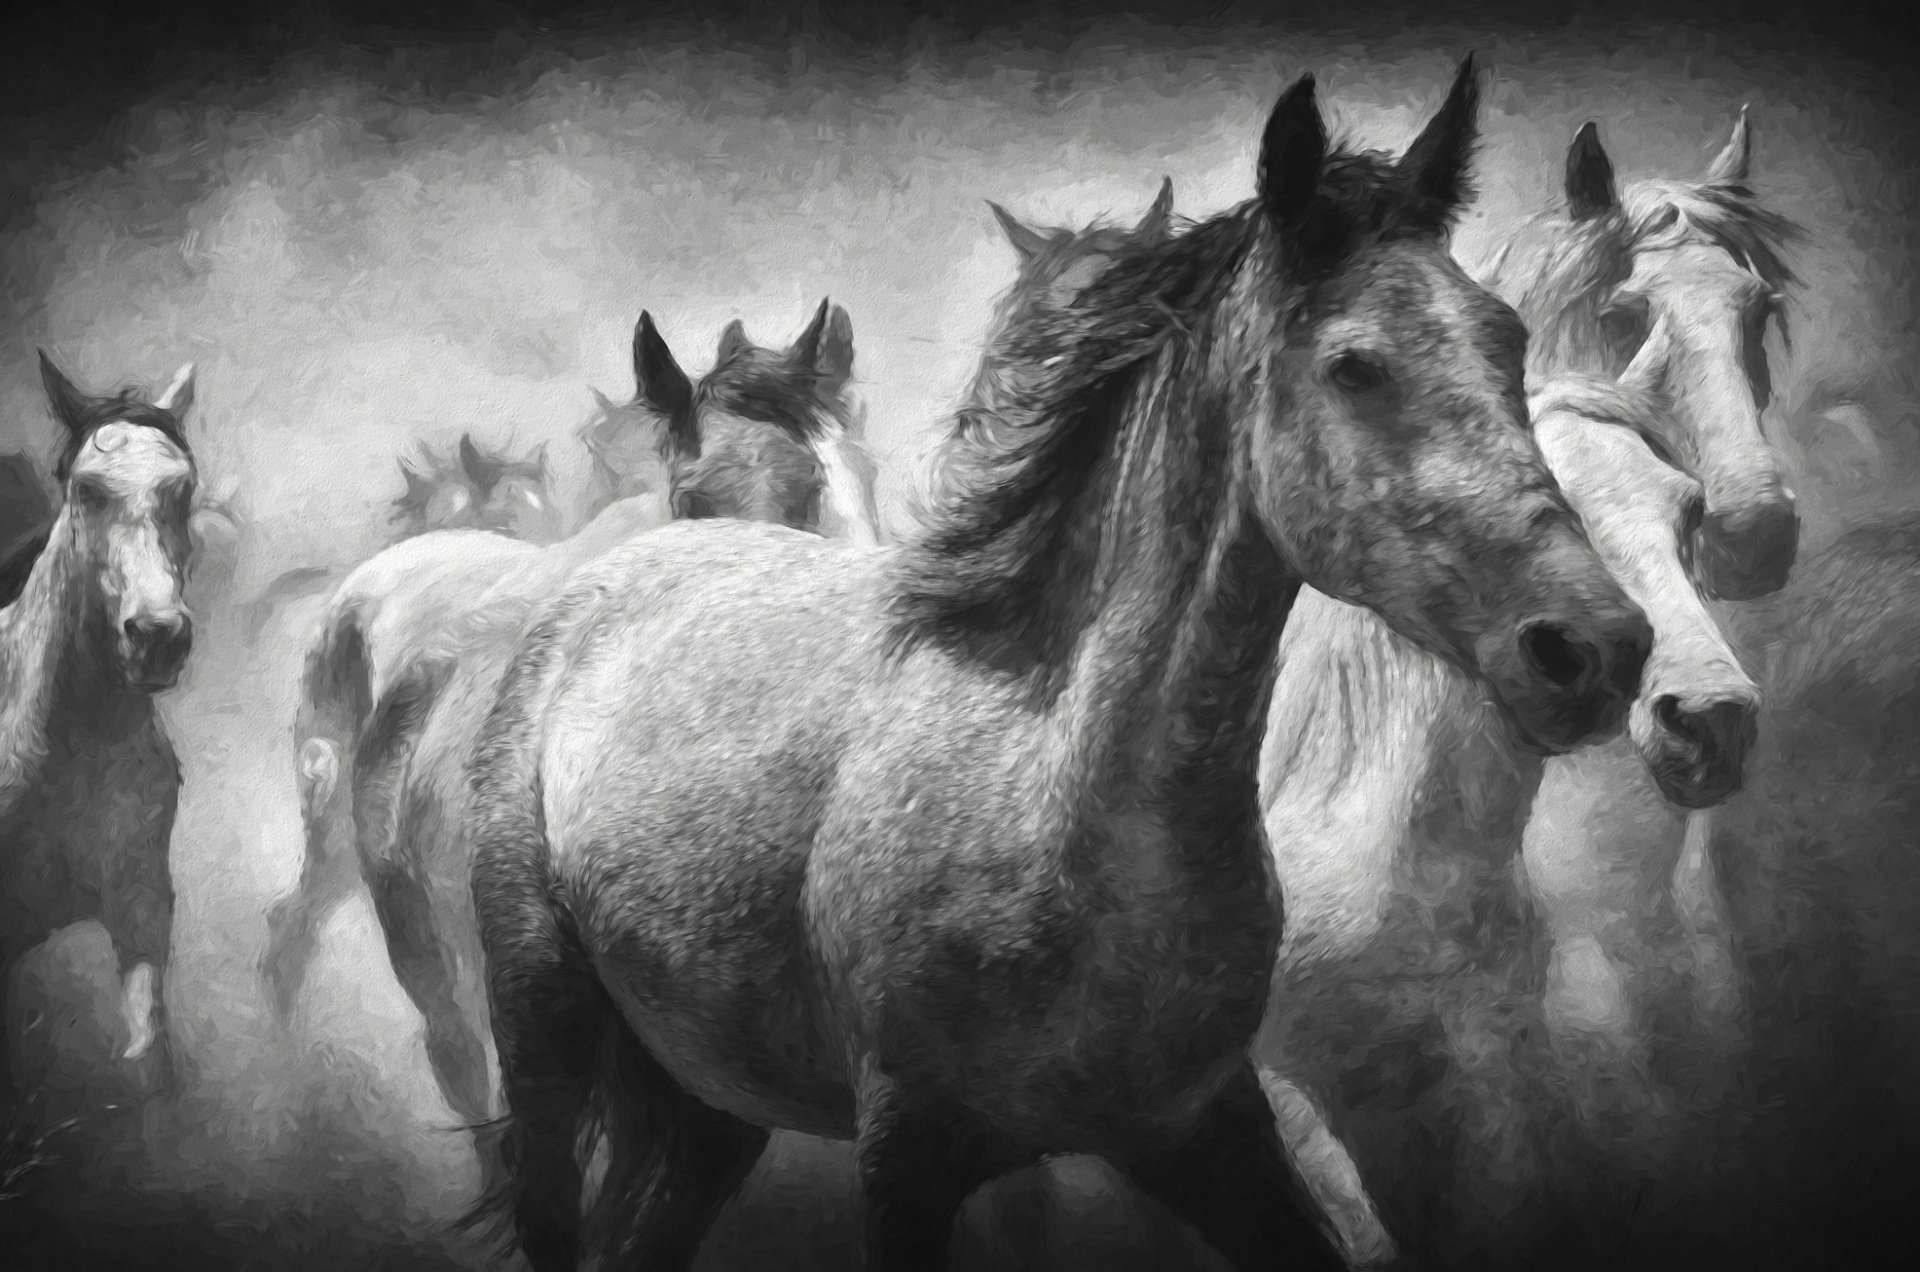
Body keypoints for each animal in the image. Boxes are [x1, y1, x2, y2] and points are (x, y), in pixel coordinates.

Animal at [461, 56, 1654, 1272]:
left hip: (709, 1106)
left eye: (1507, 339)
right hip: (545, 1033)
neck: (1059, 793)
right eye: (1355, 366)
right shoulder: (906, 1154)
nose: (1593, 648)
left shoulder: (1204, 1128)